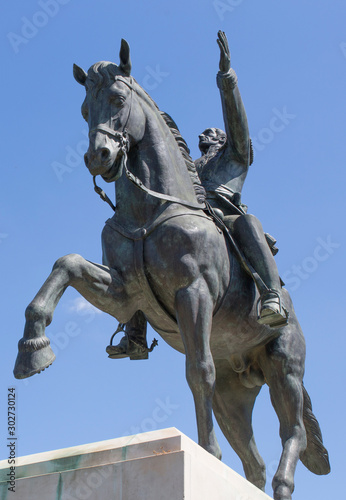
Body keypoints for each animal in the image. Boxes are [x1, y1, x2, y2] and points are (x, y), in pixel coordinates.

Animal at [14, 40, 330, 500]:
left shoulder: (193, 292)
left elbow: (198, 371)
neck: (150, 209)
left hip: (284, 368)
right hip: (234, 396)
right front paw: (33, 350)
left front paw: (208, 454)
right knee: (252, 459)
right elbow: (66, 264)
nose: (98, 157)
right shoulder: (124, 292)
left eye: (118, 99)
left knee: (294, 434)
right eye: (83, 109)